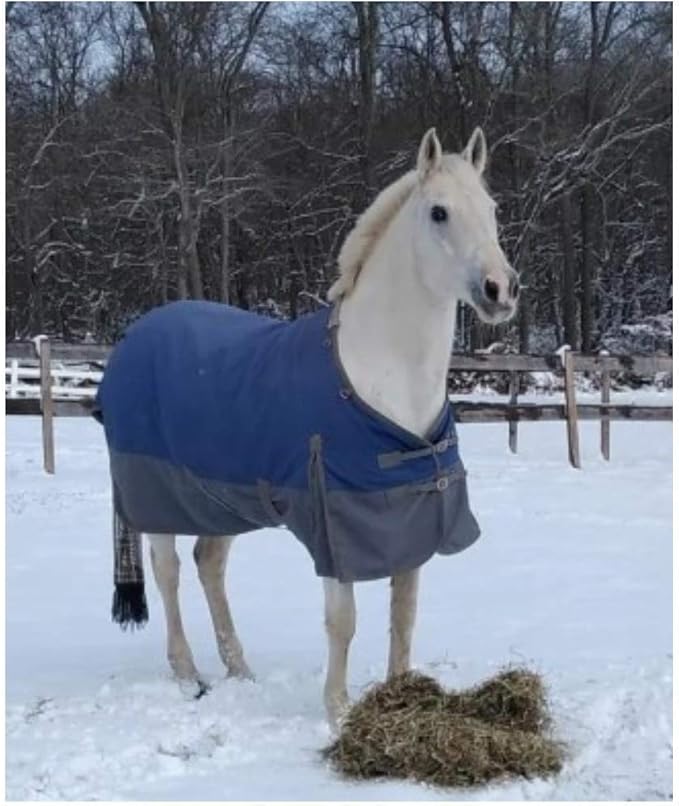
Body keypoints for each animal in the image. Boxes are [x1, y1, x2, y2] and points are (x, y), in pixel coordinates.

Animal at [94, 127, 519, 728]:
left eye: (492, 209)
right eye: (439, 212)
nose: (500, 290)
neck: (377, 374)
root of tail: (132, 339)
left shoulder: (408, 521)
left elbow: (404, 612)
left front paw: (401, 693)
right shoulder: (333, 527)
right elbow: (344, 620)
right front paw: (338, 709)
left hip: (221, 500)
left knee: (209, 565)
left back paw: (239, 668)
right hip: (158, 501)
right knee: (168, 569)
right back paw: (188, 673)